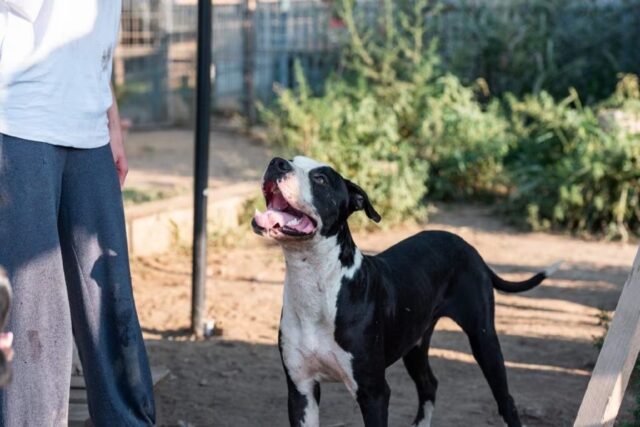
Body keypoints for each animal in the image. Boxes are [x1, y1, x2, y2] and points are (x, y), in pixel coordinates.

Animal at [252, 157, 556, 427]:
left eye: (321, 179)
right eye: (291, 159)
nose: (277, 162)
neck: (316, 284)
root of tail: (468, 246)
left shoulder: (373, 392)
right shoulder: (301, 390)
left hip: (483, 338)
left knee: (506, 400)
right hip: (416, 342)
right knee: (429, 384)